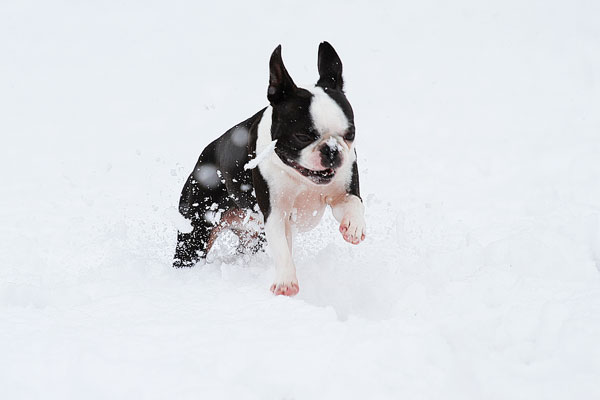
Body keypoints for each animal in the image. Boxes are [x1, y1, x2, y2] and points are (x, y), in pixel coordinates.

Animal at [173, 42, 366, 296]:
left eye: (350, 134)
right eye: (303, 136)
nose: (332, 150)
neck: (301, 179)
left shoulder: (341, 193)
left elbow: (354, 203)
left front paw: (353, 227)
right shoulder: (276, 214)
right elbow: (283, 249)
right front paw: (286, 282)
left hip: (252, 237)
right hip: (196, 228)